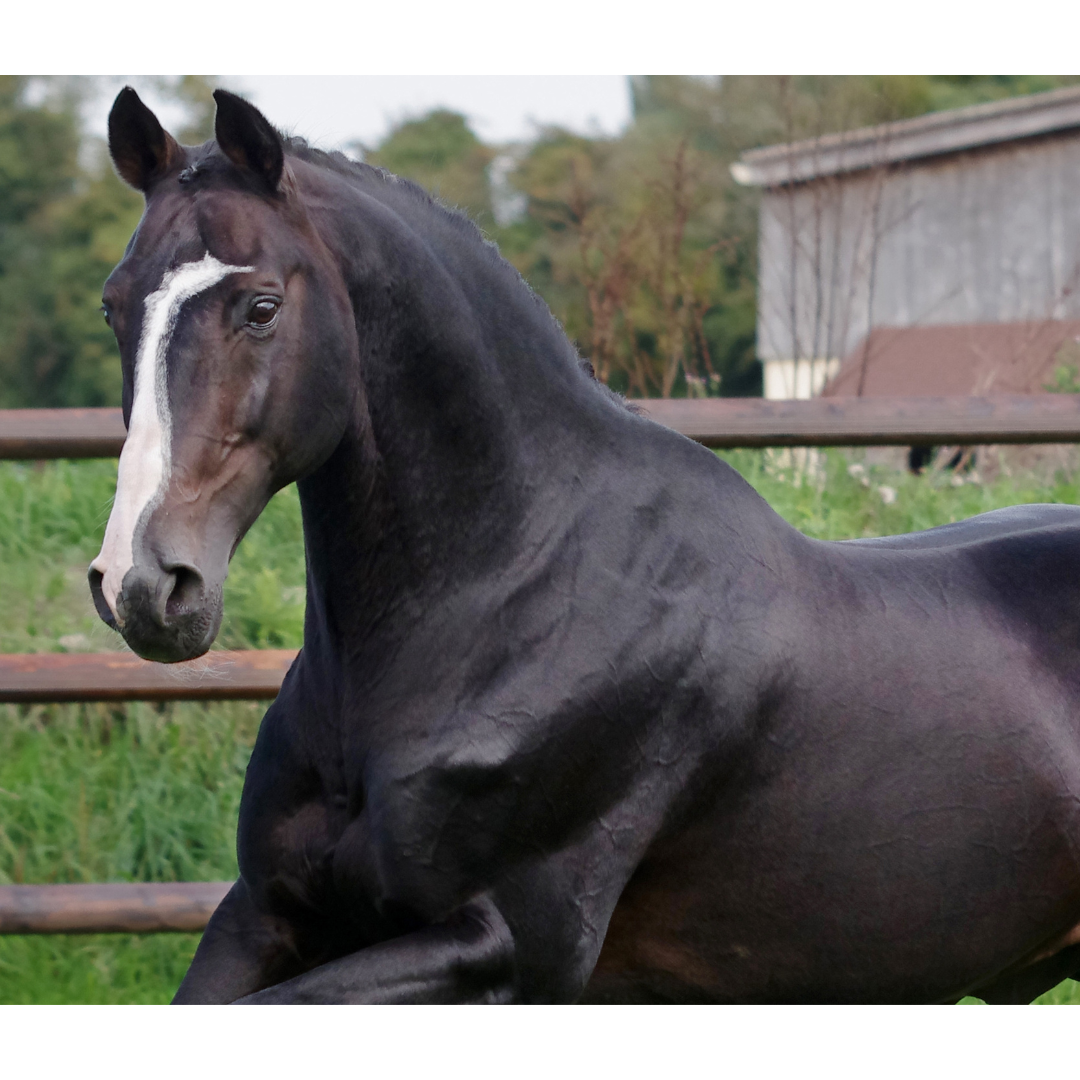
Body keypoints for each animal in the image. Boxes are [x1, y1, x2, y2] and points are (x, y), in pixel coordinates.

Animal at [87, 86, 1080, 1004]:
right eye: (113, 307)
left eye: (260, 307)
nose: (144, 584)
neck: (511, 597)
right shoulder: (264, 914)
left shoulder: (508, 950)